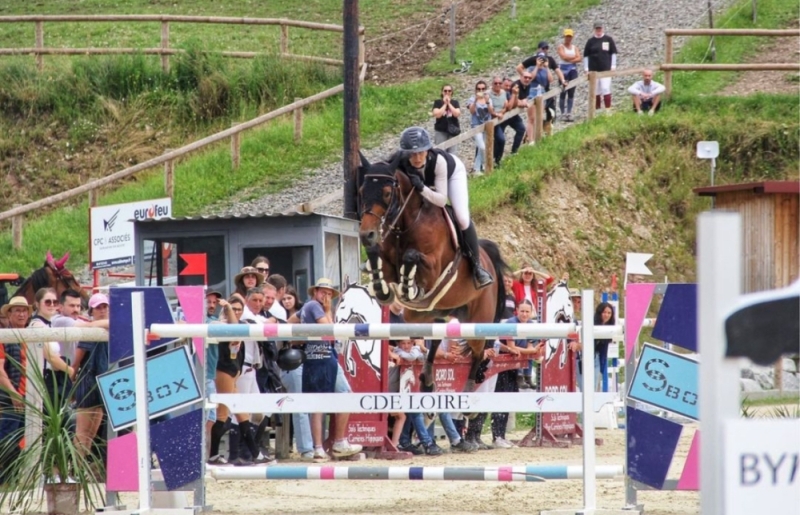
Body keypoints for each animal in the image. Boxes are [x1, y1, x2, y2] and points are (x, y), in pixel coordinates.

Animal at [360, 153, 510, 396]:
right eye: (362, 190)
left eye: (387, 193)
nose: (367, 235)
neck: (407, 223)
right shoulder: (389, 266)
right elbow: (379, 261)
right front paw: (383, 289)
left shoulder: (432, 268)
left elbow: (412, 256)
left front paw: (409, 287)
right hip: (429, 315)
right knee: (437, 338)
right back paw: (428, 380)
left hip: (477, 319)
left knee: (478, 352)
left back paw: (468, 392)